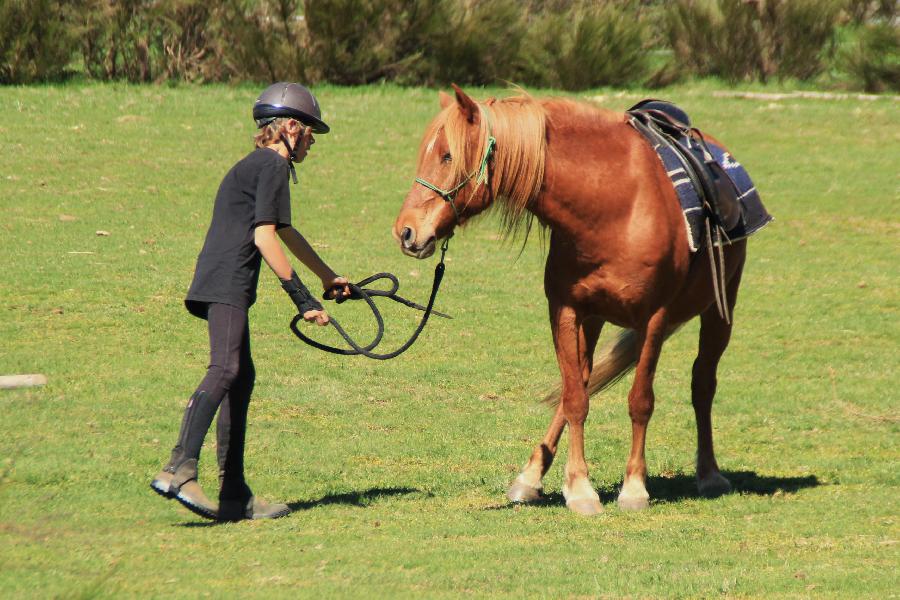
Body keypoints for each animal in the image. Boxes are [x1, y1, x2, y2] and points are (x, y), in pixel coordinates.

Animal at [394, 84, 752, 516]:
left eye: (447, 155)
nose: (406, 231)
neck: (613, 207)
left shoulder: (655, 317)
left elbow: (640, 401)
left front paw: (634, 487)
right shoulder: (566, 310)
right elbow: (574, 398)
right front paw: (579, 488)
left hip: (720, 308)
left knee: (703, 384)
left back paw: (709, 473)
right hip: (595, 319)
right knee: (582, 381)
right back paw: (530, 477)